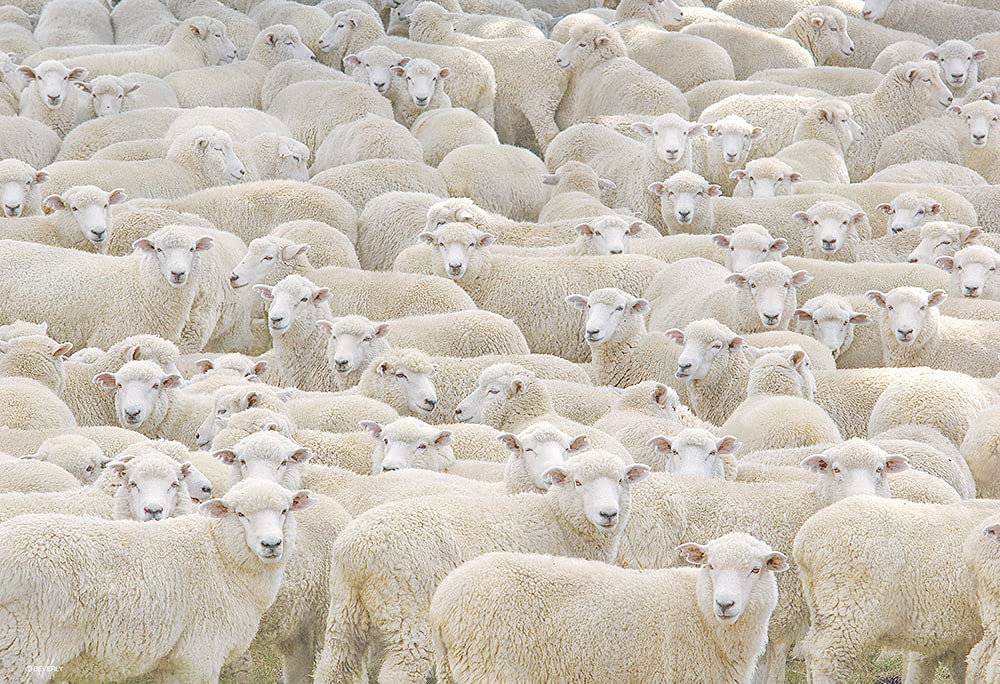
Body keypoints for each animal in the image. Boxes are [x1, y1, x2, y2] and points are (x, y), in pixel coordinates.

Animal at [0, 479, 311, 683]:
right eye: (241, 514)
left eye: (285, 511)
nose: (271, 544)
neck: (221, 555)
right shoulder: (200, 656)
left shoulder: (172, 663)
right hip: (20, 652)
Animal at [312, 450, 648, 684]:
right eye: (578, 482)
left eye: (621, 480)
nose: (608, 514)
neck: (558, 520)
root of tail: (355, 550)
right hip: (407, 610)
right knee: (399, 672)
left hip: (345, 609)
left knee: (333, 665)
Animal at [430, 534, 787, 683]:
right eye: (710, 566)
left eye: (756, 570)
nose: (725, 604)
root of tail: (442, 601)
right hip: (492, 668)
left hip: (453, 670)